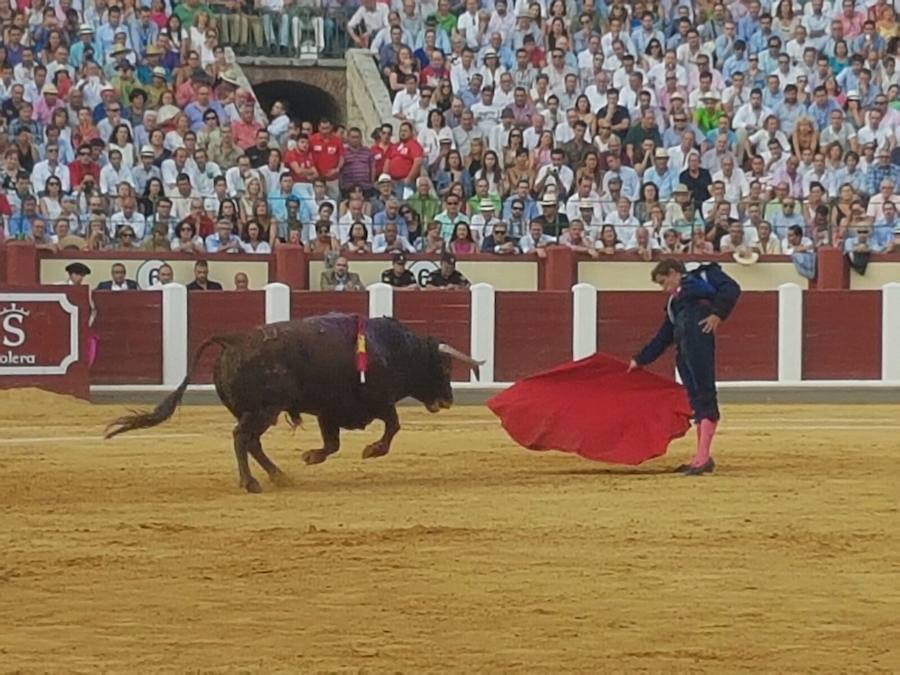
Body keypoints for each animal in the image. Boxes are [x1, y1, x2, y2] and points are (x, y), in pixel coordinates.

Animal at [103, 314, 486, 494]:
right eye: (442, 367)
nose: (448, 399)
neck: (395, 349)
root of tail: (233, 339)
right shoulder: (378, 402)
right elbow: (393, 426)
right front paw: (371, 450)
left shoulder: (330, 411)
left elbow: (332, 444)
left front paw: (311, 456)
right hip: (264, 409)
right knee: (242, 438)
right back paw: (251, 483)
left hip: (260, 411)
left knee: (251, 442)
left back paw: (279, 475)